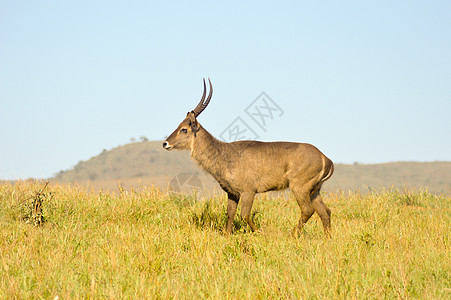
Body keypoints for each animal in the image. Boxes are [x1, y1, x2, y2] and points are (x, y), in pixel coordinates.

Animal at [163, 79, 336, 237]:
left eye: (184, 129)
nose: (165, 143)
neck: (223, 154)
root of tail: (325, 158)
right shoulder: (232, 193)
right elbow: (230, 213)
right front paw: (228, 236)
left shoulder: (248, 191)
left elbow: (244, 215)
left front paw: (260, 233)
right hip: (314, 191)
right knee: (325, 212)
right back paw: (327, 239)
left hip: (299, 187)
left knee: (307, 210)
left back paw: (292, 234)